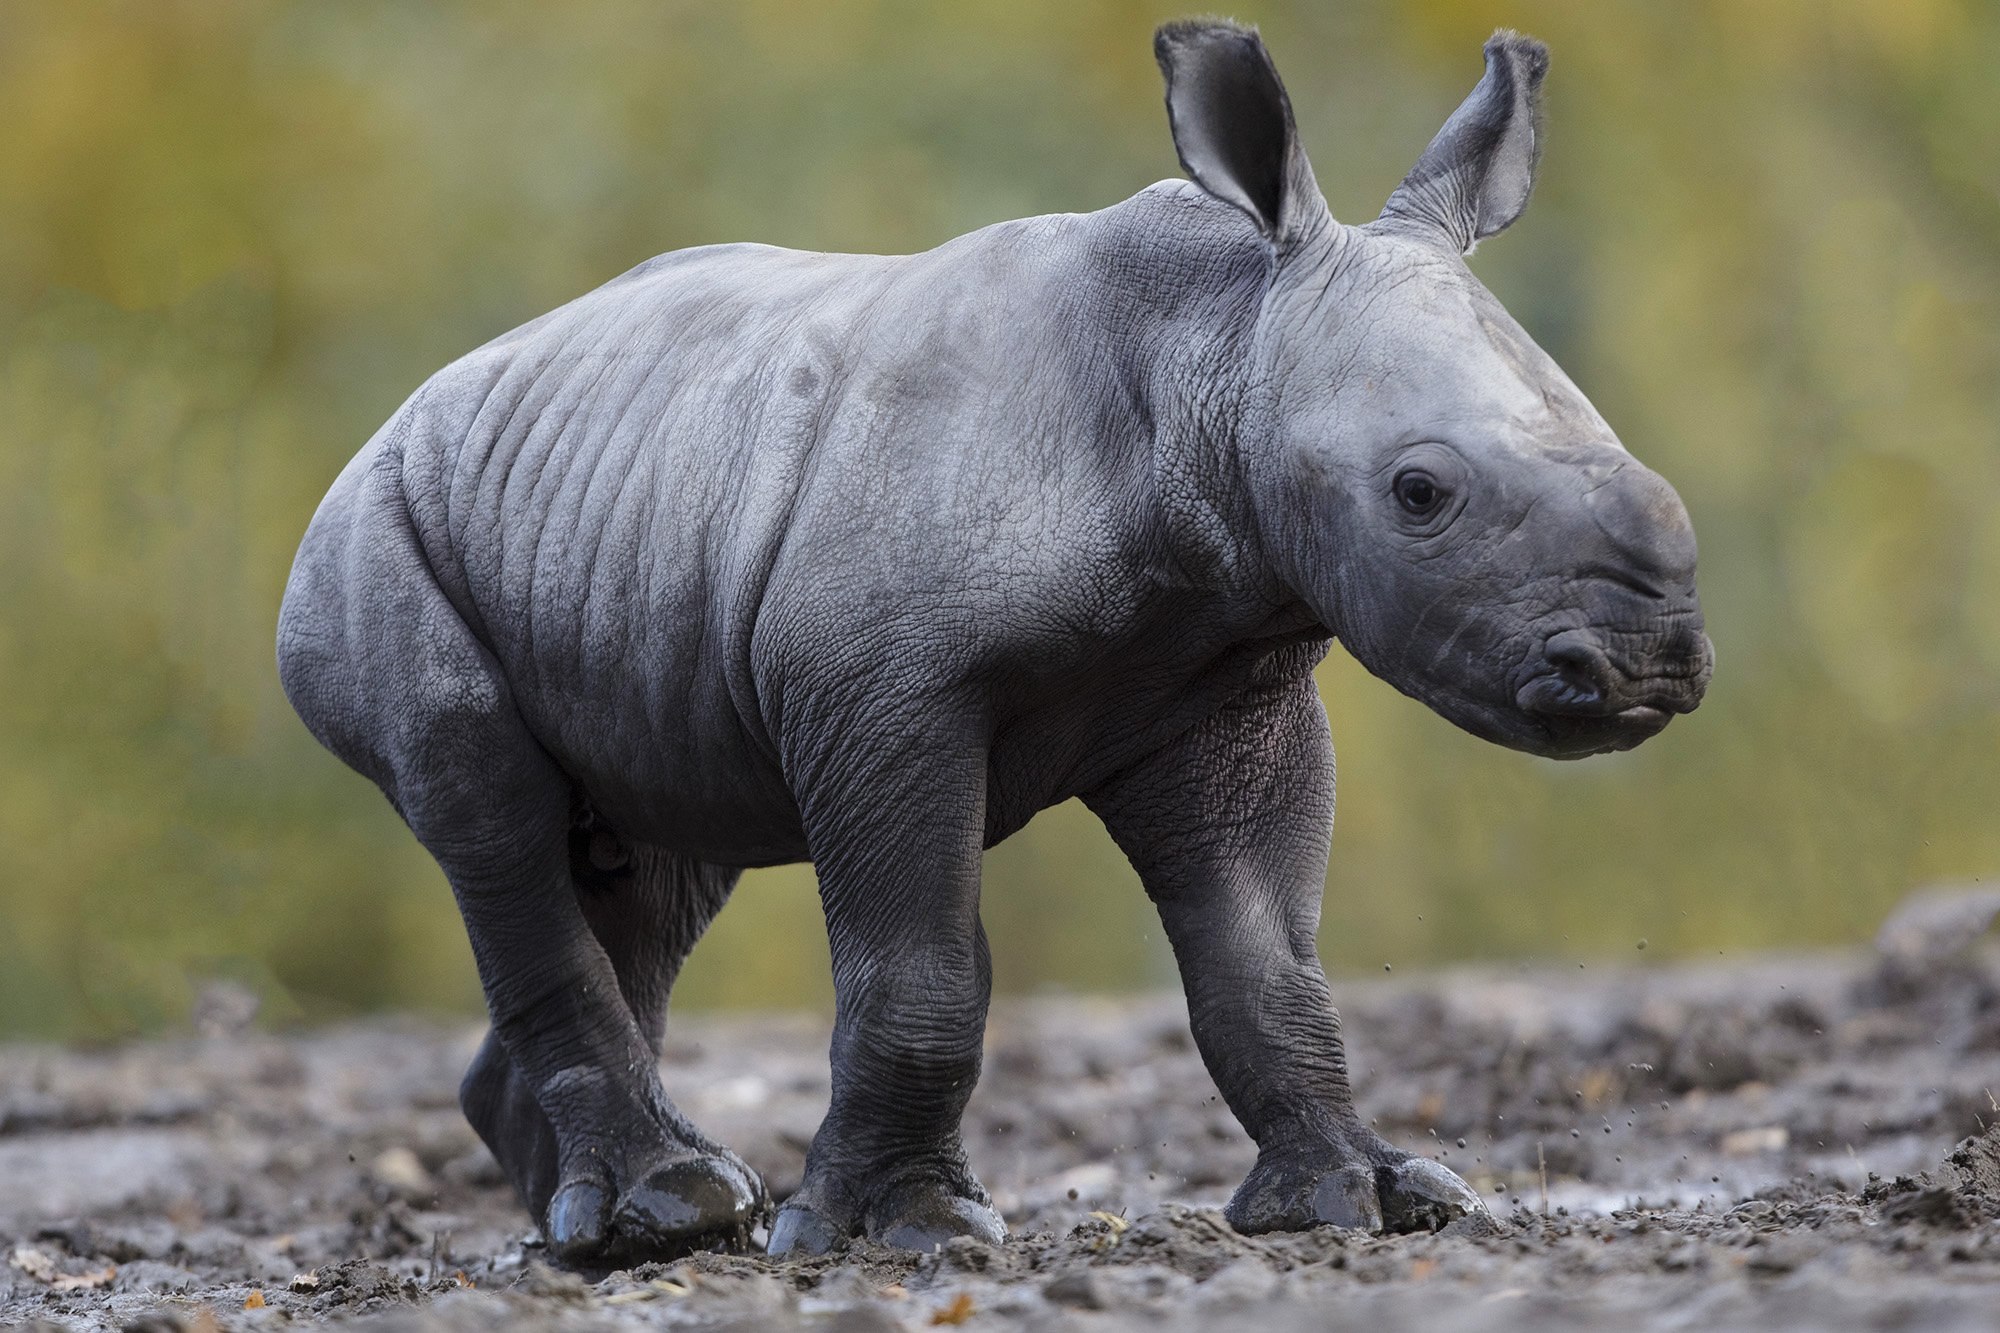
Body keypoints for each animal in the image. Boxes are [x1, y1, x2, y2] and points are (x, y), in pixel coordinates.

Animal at [278, 26, 1720, 1264]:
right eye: (1420, 493)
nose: (1646, 660)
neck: (1214, 348)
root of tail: (404, 412)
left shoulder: (1228, 682)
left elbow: (1264, 964)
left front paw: (1364, 1200)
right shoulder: (880, 689)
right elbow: (924, 970)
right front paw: (898, 1233)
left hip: (622, 506)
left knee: (654, 859)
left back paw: (617, 1229)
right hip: (374, 533)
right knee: (491, 808)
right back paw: (671, 1209)